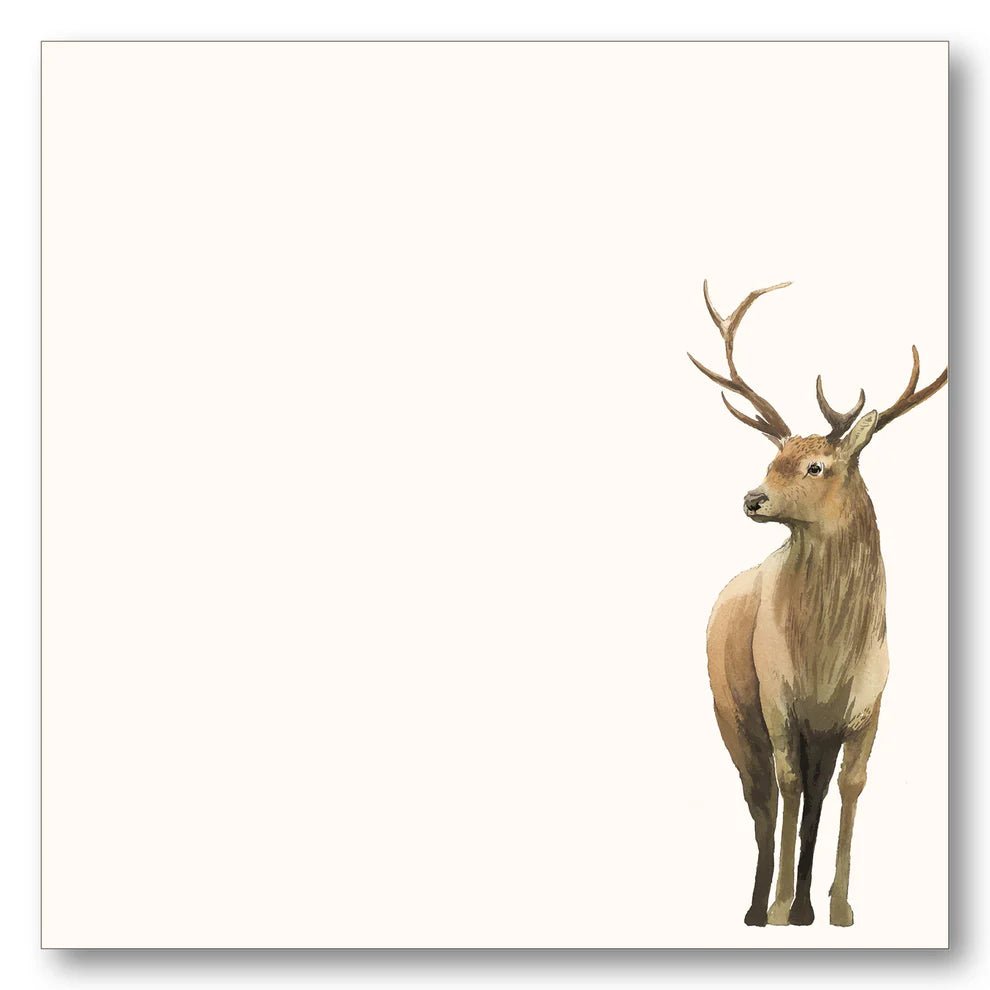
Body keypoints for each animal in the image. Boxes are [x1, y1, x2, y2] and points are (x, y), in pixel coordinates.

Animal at [688, 280, 946, 927]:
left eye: (815, 465)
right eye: (772, 459)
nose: (752, 499)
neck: (827, 655)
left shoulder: (866, 705)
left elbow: (849, 788)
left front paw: (839, 906)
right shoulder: (778, 697)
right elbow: (784, 787)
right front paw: (781, 906)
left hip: (816, 732)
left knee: (812, 797)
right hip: (730, 708)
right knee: (760, 796)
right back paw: (757, 908)